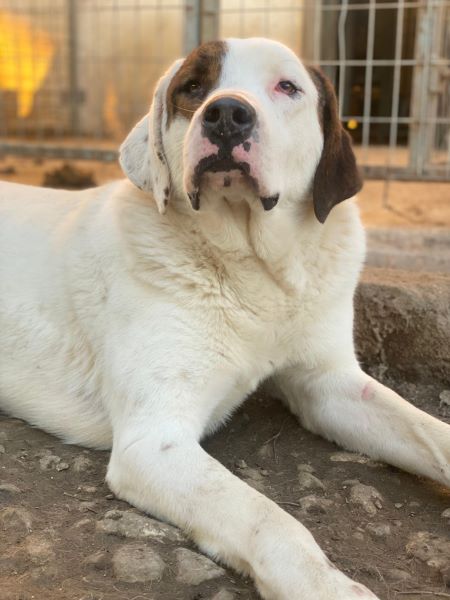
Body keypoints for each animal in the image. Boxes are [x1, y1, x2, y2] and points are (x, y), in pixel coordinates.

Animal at [1, 38, 449, 600]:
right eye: (194, 88)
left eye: (287, 87)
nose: (227, 115)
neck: (254, 270)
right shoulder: (155, 441)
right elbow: (268, 516)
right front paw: (326, 586)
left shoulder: (331, 385)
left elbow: (430, 433)